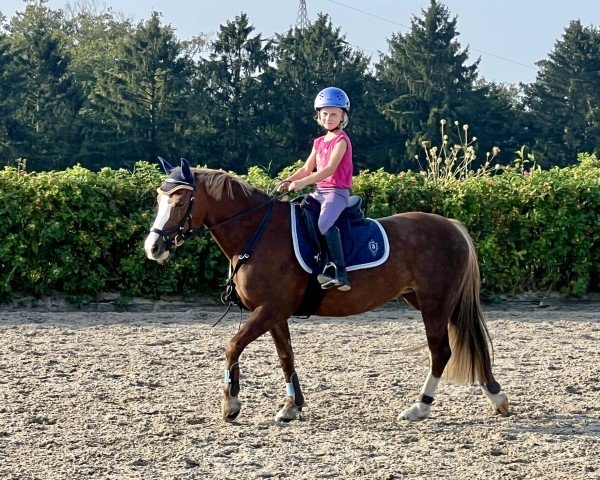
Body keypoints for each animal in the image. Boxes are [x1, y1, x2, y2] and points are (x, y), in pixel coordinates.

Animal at [144, 159, 506, 422]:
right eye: (159, 199)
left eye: (180, 201)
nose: (153, 248)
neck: (258, 233)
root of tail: (452, 226)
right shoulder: (275, 313)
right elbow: (286, 356)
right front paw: (292, 406)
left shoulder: (269, 310)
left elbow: (233, 346)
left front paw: (231, 404)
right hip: (431, 301)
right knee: (467, 343)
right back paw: (495, 396)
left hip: (435, 303)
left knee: (441, 351)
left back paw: (420, 407)